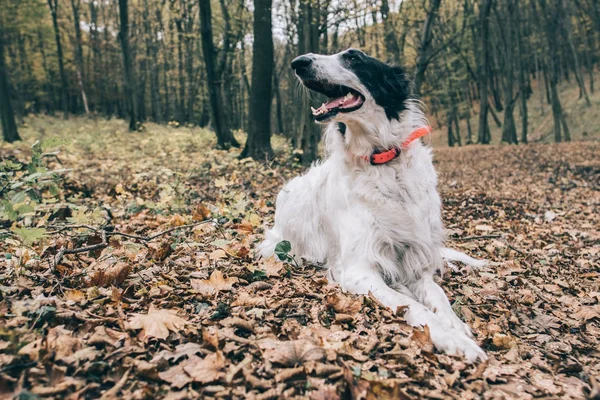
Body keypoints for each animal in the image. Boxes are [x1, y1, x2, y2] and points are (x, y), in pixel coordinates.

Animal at [258, 48, 488, 360]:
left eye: (354, 58)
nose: (298, 62)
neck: (382, 161)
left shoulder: (416, 262)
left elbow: (438, 295)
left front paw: (456, 324)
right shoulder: (360, 270)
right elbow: (414, 306)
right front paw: (454, 339)